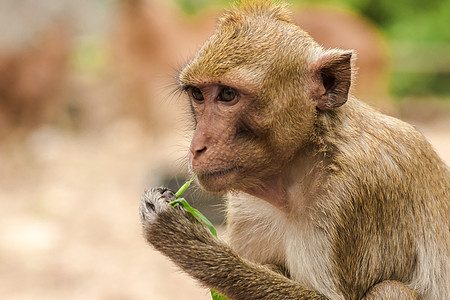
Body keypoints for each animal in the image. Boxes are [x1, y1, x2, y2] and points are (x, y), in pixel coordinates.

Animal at [139, 1, 448, 298]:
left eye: (227, 95)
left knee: (389, 289)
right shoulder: (245, 208)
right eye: (198, 94)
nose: (197, 147)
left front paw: (193, 244)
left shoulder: (355, 193)